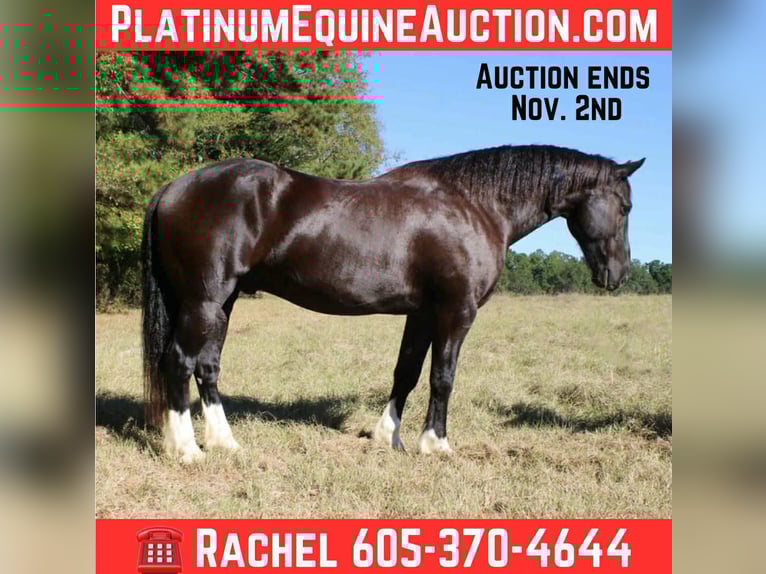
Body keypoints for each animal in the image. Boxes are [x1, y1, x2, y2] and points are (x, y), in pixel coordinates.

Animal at [141, 144, 644, 463]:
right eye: (625, 207)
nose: (618, 274)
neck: (474, 205)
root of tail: (173, 188)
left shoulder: (421, 314)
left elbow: (407, 372)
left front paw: (389, 437)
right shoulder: (456, 311)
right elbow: (442, 377)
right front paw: (436, 444)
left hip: (222, 302)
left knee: (207, 366)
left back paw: (224, 442)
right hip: (204, 301)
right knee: (179, 362)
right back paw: (188, 451)